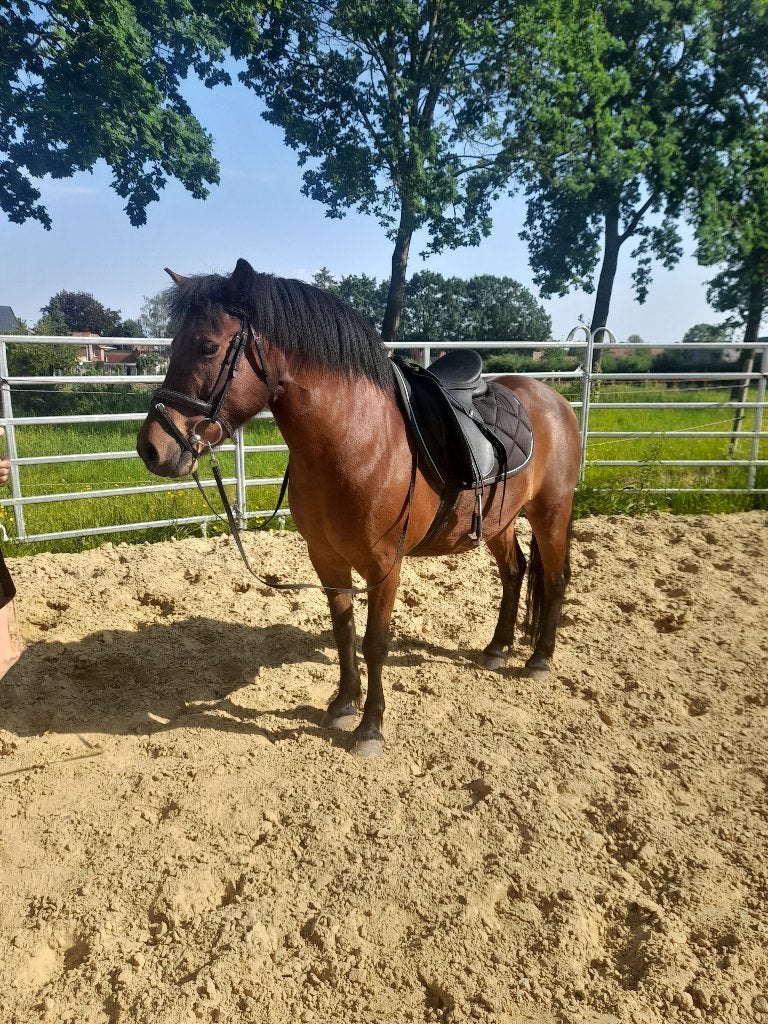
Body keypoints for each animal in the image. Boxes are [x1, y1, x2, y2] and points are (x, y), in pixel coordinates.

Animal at [136, 258, 582, 756]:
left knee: (556, 577)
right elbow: (344, 631)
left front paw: (370, 728)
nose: (151, 448)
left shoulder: (384, 566)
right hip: (499, 521)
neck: (354, 440)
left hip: (551, 511)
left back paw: (540, 658)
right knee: (514, 572)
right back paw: (497, 649)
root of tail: (554, 399)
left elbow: (375, 643)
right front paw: (341, 705)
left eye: (208, 346)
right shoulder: (326, 559)